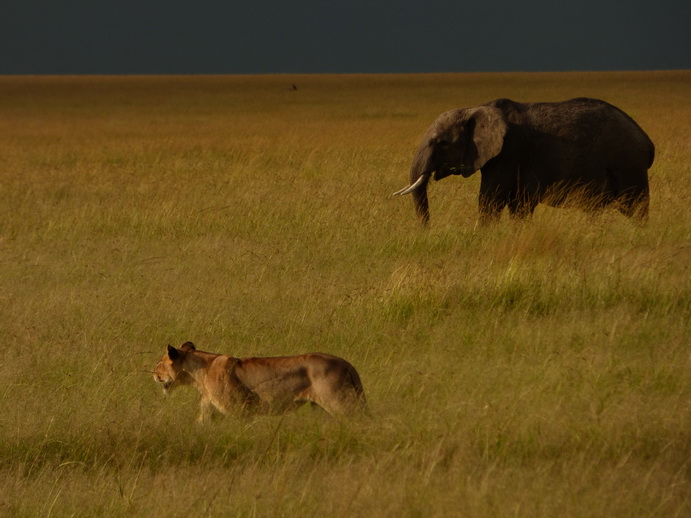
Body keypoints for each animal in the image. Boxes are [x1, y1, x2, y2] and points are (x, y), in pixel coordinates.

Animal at [393, 98, 654, 225]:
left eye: (440, 142)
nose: (427, 230)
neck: (475, 109)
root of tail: (647, 141)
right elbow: (517, 205)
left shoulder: (507, 152)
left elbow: (490, 200)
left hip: (629, 165)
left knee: (637, 207)